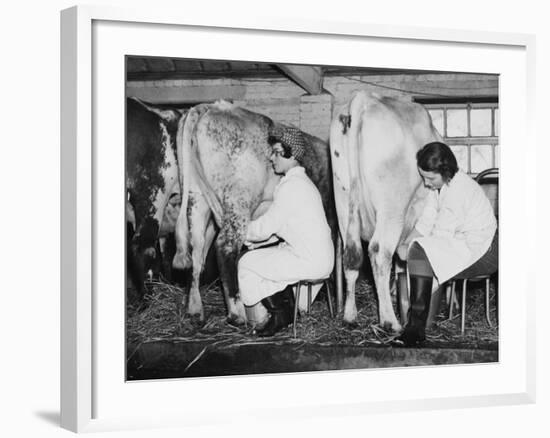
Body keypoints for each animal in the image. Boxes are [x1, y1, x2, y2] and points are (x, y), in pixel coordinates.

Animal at [172, 101, 336, 324]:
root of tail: (213, 107)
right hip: (238, 200)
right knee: (225, 247)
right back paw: (237, 314)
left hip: (196, 200)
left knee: (197, 250)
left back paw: (195, 309)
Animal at [330, 91, 442, 332]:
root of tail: (364, 98)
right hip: (392, 208)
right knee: (379, 252)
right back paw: (390, 321)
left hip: (343, 200)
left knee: (352, 255)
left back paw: (350, 315)